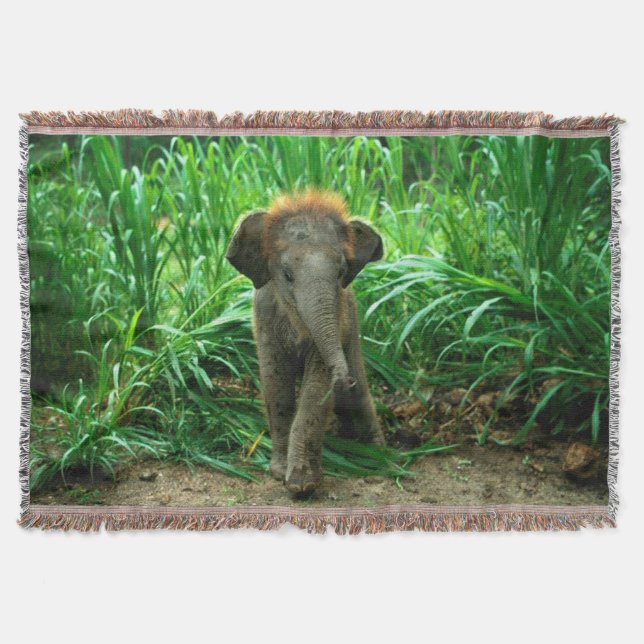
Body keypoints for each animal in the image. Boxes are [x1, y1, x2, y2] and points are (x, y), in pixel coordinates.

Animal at [225, 189, 385, 495]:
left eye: (341, 273)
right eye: (287, 275)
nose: (343, 378)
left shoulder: (339, 316)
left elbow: (315, 389)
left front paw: (302, 484)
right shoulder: (264, 317)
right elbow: (276, 383)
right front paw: (280, 474)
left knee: (359, 394)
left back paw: (378, 455)